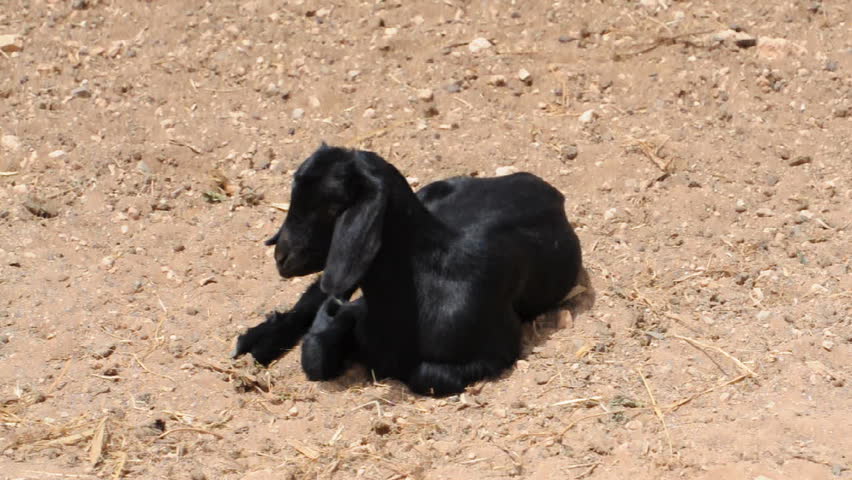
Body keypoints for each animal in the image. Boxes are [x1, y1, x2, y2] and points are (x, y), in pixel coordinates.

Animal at [233, 144, 583, 395]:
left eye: (332, 207)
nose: (282, 257)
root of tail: (544, 186)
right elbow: (316, 355)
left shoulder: (498, 349)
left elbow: (426, 374)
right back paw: (255, 344)